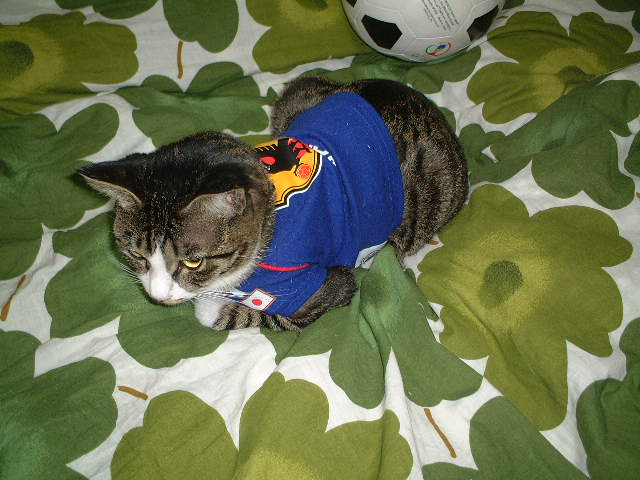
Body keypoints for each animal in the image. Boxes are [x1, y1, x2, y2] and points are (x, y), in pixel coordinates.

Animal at [79, 76, 468, 332]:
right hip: (301, 92)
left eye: (192, 262)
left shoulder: (316, 287)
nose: (157, 297)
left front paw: (214, 303)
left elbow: (240, 313)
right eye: (137, 254)